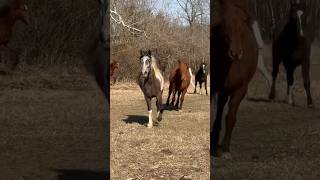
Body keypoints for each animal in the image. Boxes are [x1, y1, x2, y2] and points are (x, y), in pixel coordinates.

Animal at [211, 0, 258, 158]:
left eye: (243, 22)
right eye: (225, 22)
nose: (235, 53)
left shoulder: (241, 89)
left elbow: (231, 116)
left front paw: (225, 148)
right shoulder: (214, 87)